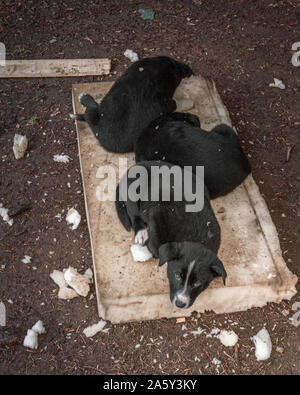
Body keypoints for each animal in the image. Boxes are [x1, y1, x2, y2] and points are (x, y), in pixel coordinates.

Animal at [116, 161, 226, 310]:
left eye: (198, 283)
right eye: (177, 276)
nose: (180, 303)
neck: (196, 236)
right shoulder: (156, 216)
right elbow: (156, 248)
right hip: (134, 192)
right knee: (134, 214)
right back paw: (141, 232)